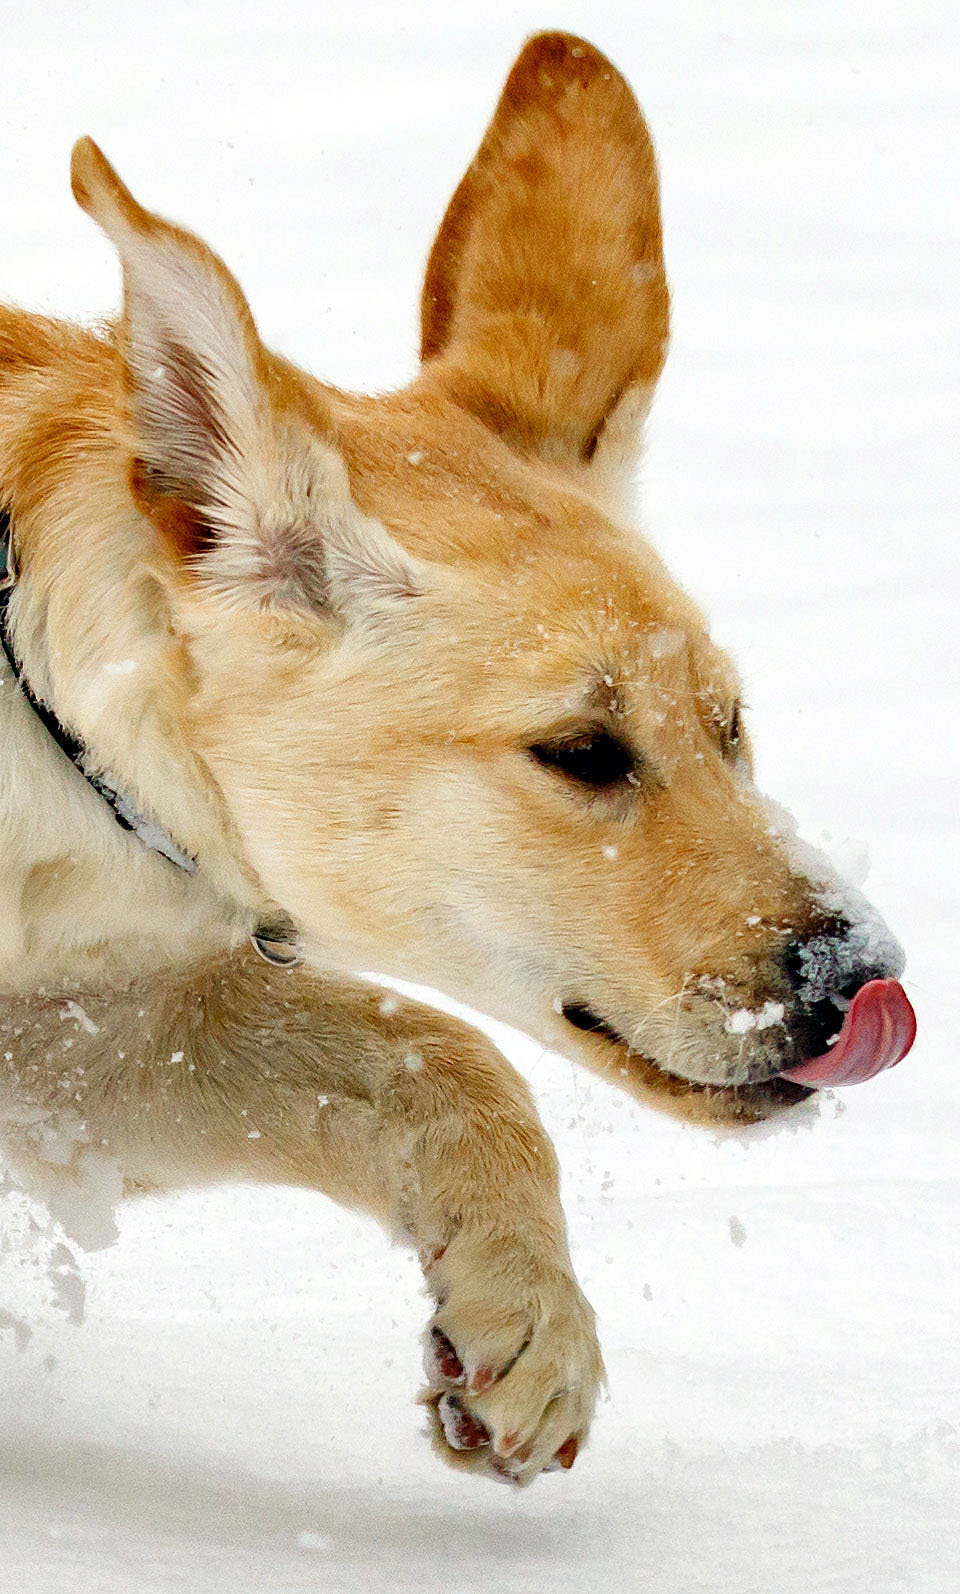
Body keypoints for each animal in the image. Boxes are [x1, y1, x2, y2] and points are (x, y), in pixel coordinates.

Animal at [1, 31, 912, 1485]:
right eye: (583, 751)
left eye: (730, 725)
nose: (860, 977)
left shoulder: (77, 1043)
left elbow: (440, 1050)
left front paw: (527, 1317)